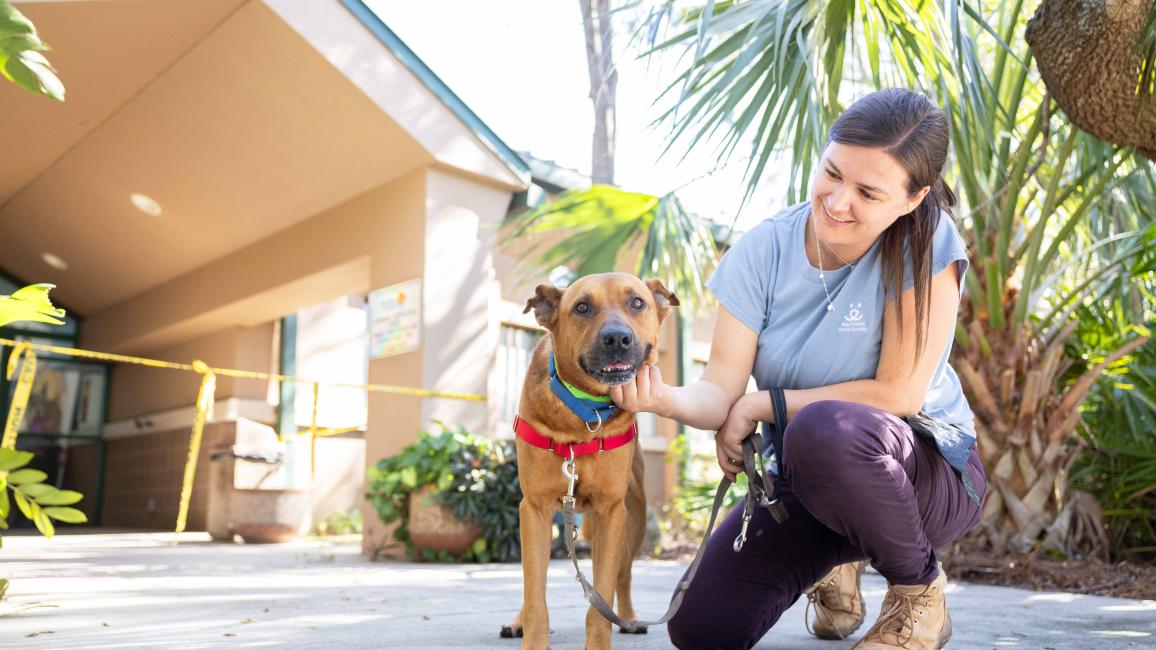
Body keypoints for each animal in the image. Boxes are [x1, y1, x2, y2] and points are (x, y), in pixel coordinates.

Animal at [504, 271, 675, 647]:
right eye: (582, 307)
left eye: (637, 302)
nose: (617, 338)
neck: (584, 414)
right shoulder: (534, 508)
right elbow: (534, 592)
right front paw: (532, 635)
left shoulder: (611, 511)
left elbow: (602, 599)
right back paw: (517, 620)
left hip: (635, 519)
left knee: (623, 576)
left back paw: (628, 617)